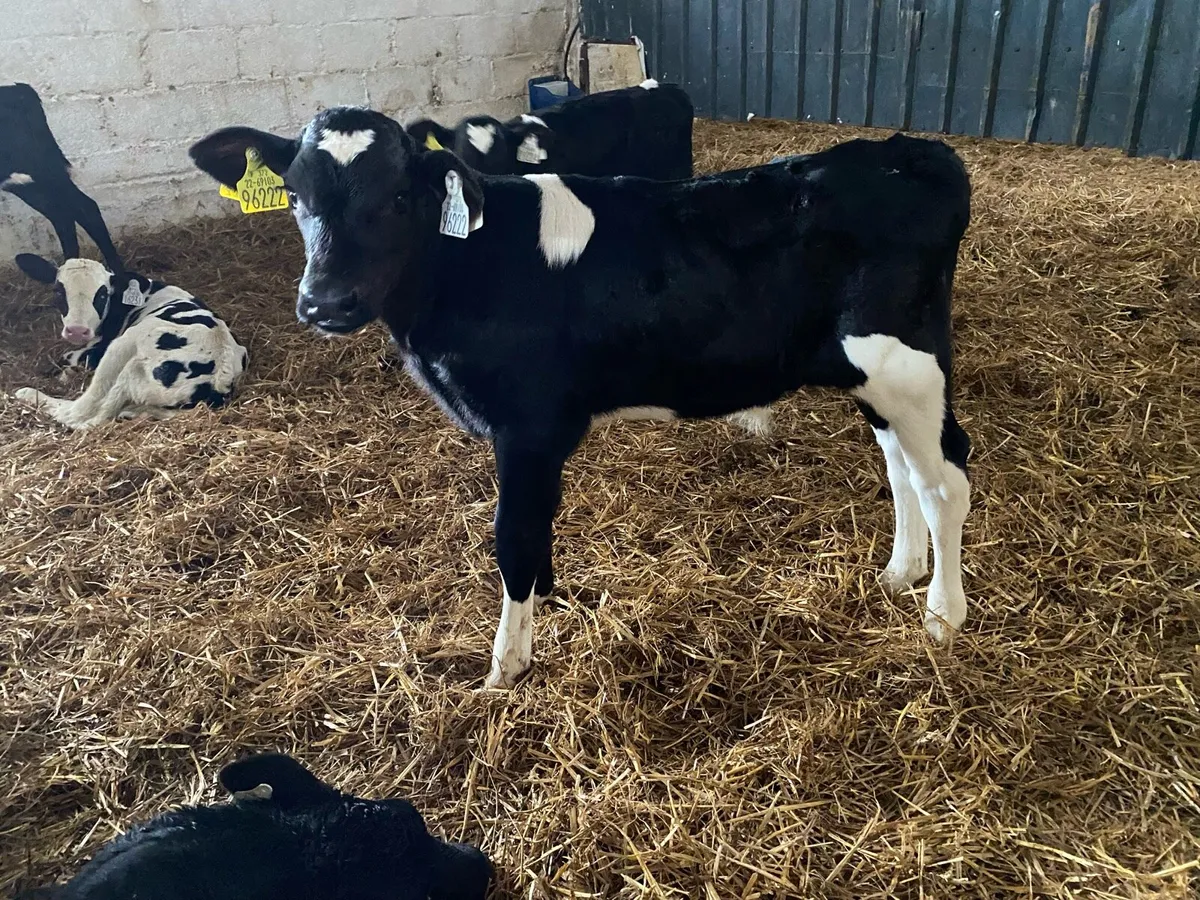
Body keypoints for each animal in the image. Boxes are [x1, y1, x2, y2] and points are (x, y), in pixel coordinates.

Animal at [11, 254, 247, 429]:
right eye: (58, 291)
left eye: (102, 295)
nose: (77, 331)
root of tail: (218, 377)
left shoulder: (98, 348)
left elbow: (68, 358)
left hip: (124, 350)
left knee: (81, 415)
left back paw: (30, 394)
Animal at [189, 107, 973, 690]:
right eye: (295, 195)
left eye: (399, 196)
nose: (326, 302)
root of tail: (912, 152)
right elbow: (538, 536)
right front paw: (546, 602)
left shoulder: (528, 425)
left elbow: (513, 537)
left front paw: (506, 666)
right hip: (870, 375)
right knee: (902, 467)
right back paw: (900, 574)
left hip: (905, 363)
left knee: (946, 478)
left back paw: (943, 615)